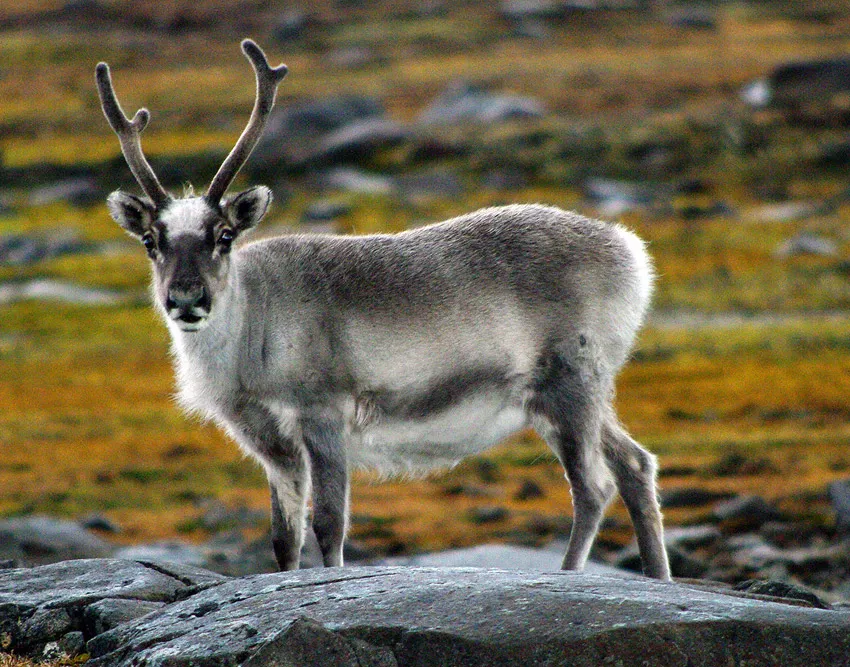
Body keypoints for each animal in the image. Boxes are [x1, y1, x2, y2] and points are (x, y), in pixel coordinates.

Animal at [96, 39, 671, 580]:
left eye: (224, 236)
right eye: (150, 241)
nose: (186, 299)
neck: (249, 330)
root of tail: (630, 250)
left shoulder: (322, 412)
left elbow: (330, 523)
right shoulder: (268, 440)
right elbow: (283, 538)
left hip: (568, 382)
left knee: (593, 486)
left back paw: (571, 574)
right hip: (570, 394)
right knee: (635, 464)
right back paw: (658, 577)